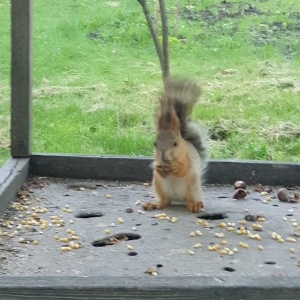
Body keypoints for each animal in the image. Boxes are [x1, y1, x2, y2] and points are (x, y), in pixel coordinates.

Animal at [142, 78, 207, 213]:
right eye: (155, 144)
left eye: (175, 143)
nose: (164, 157)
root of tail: (178, 199)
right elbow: (159, 169)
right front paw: (158, 167)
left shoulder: (188, 159)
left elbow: (183, 169)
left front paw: (175, 167)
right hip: (159, 185)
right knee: (165, 202)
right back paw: (154, 204)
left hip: (192, 187)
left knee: (189, 200)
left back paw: (194, 205)